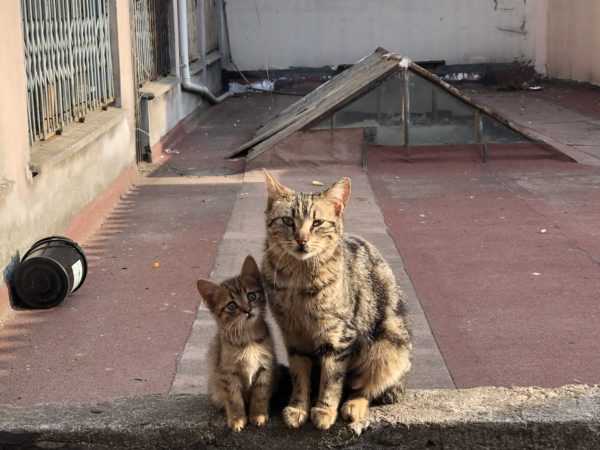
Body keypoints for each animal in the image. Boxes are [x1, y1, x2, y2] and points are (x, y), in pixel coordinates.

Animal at [197, 255, 274, 430]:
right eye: (232, 305)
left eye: (251, 296)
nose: (247, 310)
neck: (248, 338)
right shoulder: (228, 373)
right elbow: (234, 398)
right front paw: (237, 418)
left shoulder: (265, 367)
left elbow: (260, 394)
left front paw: (258, 414)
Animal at [260, 171, 410, 430]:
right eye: (288, 221)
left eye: (317, 223)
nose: (301, 240)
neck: (298, 278)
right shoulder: (293, 335)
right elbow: (300, 375)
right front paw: (298, 407)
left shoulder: (338, 335)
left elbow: (332, 378)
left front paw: (324, 409)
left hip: (390, 345)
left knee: (368, 387)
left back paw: (353, 405)